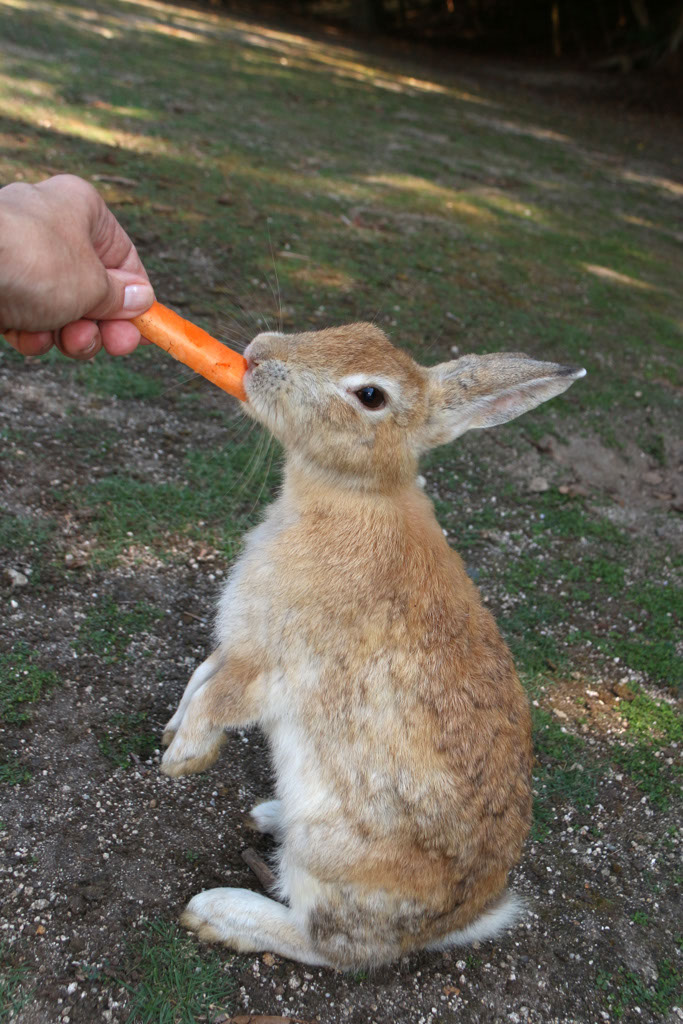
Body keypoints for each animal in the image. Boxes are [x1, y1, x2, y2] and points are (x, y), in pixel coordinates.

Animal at [159, 323, 585, 969]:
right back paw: (268, 814)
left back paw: (221, 912)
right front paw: (172, 733)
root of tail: (451, 925)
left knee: (328, 944)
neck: (354, 493)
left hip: (330, 854)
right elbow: (200, 678)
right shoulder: (235, 644)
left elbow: (220, 699)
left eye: (370, 396)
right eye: (359, 330)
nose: (257, 354)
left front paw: (183, 758)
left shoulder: (269, 664)